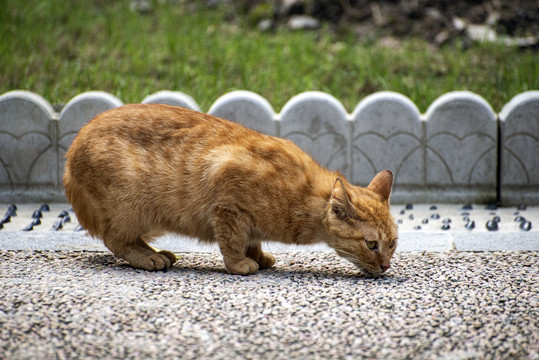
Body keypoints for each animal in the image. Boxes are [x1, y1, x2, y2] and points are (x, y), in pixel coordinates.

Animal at [65, 104, 398, 276]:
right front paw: (239, 264)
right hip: (131, 207)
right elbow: (232, 240)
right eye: (372, 244)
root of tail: (70, 156)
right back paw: (148, 258)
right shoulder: (226, 197)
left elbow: (252, 240)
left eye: (393, 243)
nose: (385, 266)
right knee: (115, 239)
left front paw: (259, 256)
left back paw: (156, 252)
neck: (303, 196)